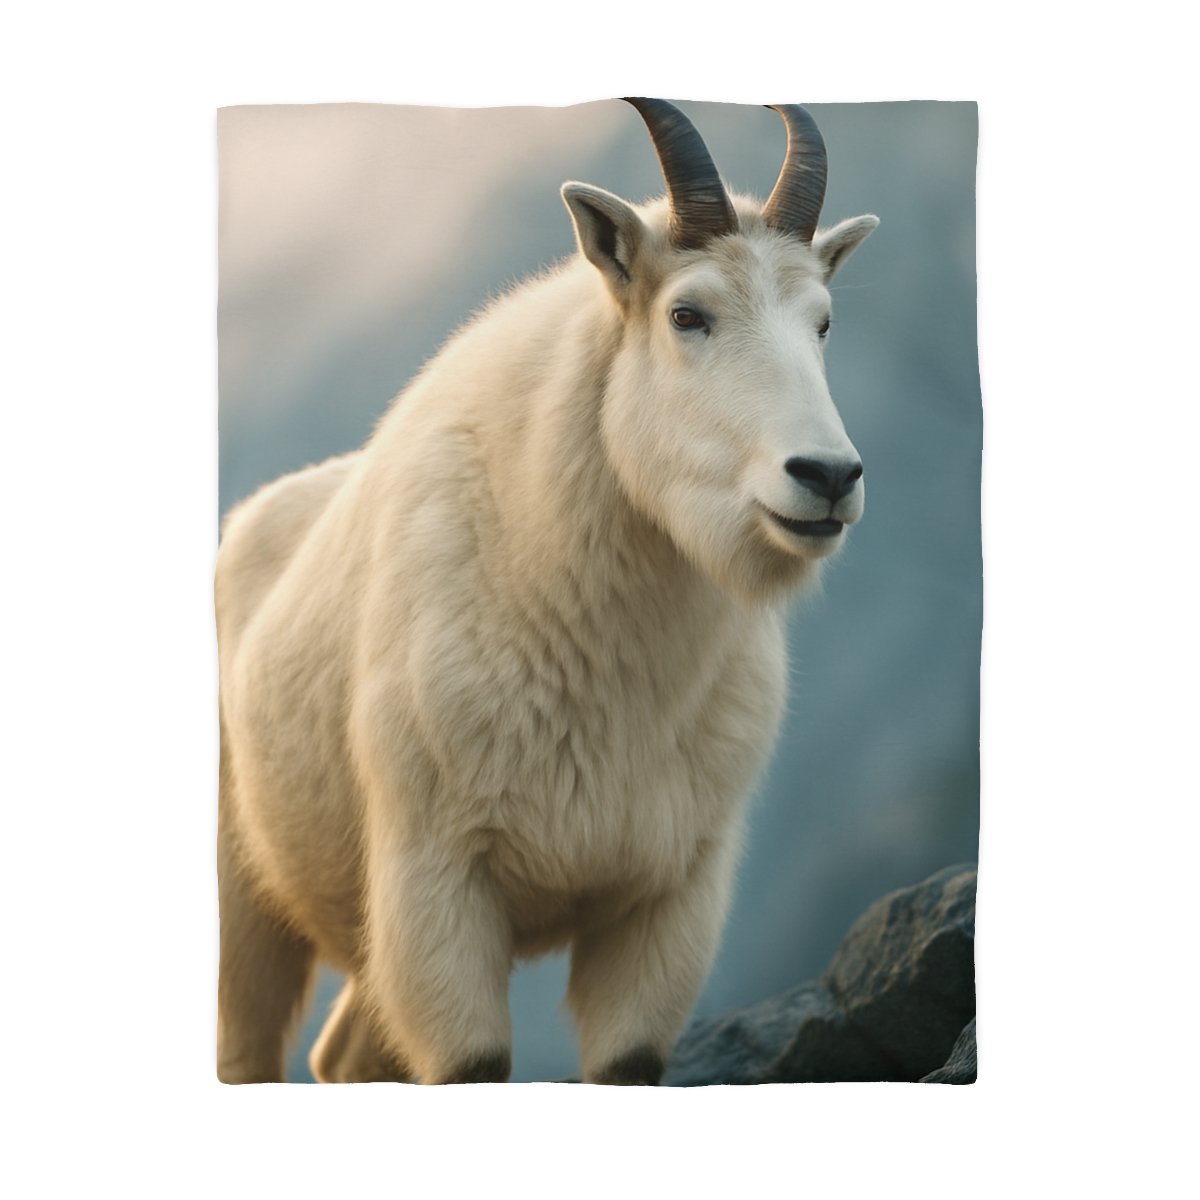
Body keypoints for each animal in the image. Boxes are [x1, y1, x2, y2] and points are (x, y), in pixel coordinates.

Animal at [216, 98, 879, 1084]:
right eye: (688, 313)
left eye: (824, 321)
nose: (827, 477)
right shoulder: (438, 882)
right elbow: (470, 1062)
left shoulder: (669, 898)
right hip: (244, 899)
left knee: (347, 1057)